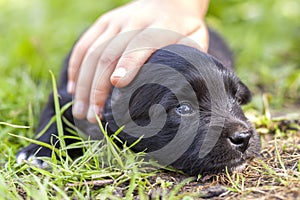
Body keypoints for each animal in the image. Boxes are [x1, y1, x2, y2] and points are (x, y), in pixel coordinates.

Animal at [16, 30, 260, 176]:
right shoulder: (73, 95)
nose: (243, 137)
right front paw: (37, 152)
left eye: (236, 98)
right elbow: (53, 115)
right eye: (183, 108)